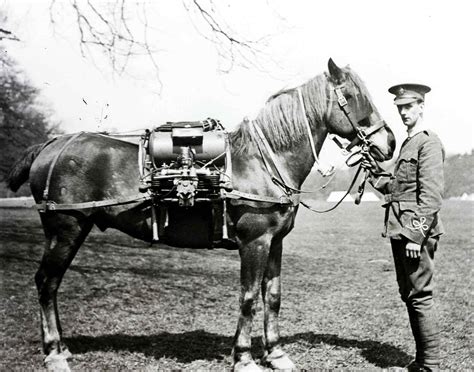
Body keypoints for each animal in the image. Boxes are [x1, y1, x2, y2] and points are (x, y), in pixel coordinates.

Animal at [6, 58, 396, 370]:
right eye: (353, 96)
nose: (389, 143)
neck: (263, 162)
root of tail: (52, 145)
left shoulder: (275, 242)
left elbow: (272, 296)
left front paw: (277, 354)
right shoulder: (254, 242)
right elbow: (248, 298)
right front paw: (244, 358)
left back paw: (61, 348)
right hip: (66, 229)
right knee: (47, 283)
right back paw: (54, 354)